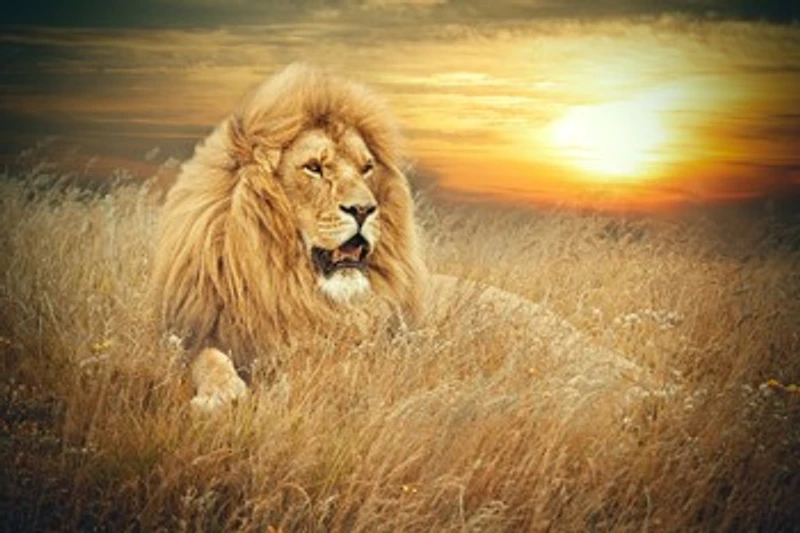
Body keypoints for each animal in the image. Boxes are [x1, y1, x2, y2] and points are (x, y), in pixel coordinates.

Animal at [152, 63, 426, 410]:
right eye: (313, 167)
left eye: (367, 168)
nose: (364, 209)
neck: (290, 286)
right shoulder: (191, 335)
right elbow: (209, 358)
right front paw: (220, 396)